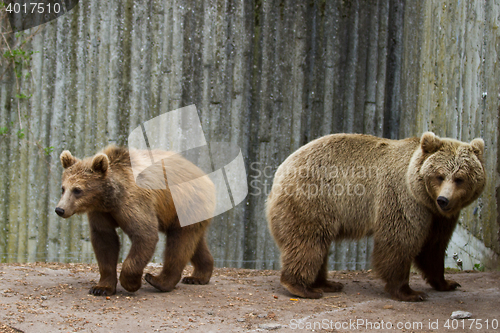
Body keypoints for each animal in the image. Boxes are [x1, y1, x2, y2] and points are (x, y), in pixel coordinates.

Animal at [268, 132, 486, 300]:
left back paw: (326, 284)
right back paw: (303, 288)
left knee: (319, 245)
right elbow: (399, 241)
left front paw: (447, 282)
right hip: (313, 199)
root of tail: (281, 169)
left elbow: (434, 248)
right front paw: (410, 292)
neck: (424, 197)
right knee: (308, 242)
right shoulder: (404, 199)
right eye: (439, 176)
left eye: (460, 178)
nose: (444, 200)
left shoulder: (440, 218)